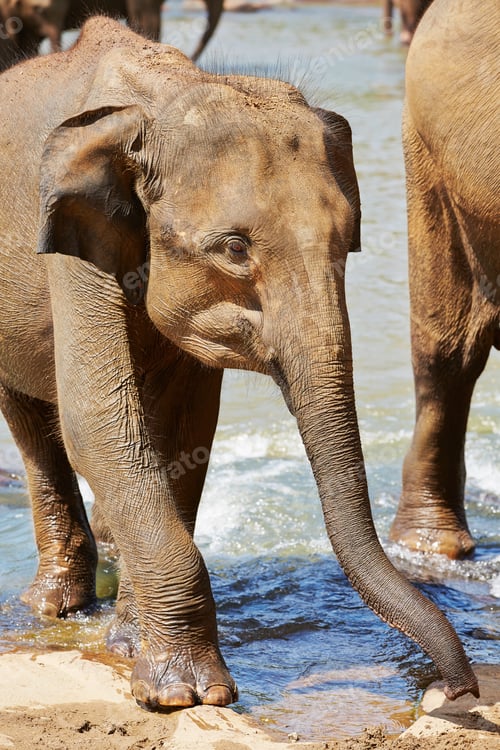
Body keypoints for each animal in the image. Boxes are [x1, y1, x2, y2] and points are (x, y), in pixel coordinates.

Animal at [0, 16, 479, 707]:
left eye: (349, 241)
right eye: (233, 249)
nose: (456, 690)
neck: (165, 97)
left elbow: (188, 432)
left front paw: (130, 646)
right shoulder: (75, 245)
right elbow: (99, 424)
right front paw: (185, 694)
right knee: (32, 422)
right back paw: (51, 609)